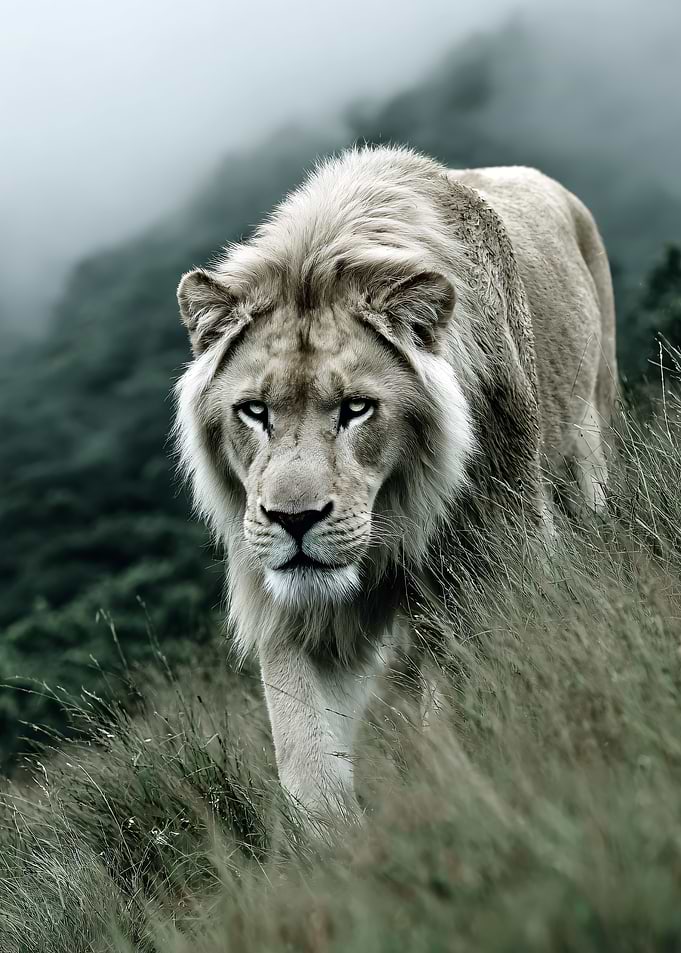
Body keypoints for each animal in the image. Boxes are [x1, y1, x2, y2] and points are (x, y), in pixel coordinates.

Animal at [174, 145, 617, 823]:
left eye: (356, 409)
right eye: (254, 411)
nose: (293, 520)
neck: (396, 517)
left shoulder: (501, 557)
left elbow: (473, 686)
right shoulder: (293, 617)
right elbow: (306, 761)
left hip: (590, 428)